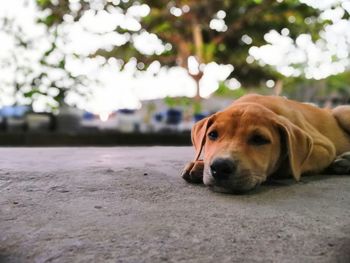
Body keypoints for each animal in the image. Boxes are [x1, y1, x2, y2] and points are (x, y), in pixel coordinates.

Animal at [182, 94, 350, 194]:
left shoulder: (325, 147)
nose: (221, 167)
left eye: (259, 139)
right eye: (212, 135)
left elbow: (290, 164)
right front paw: (198, 164)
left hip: (341, 112)